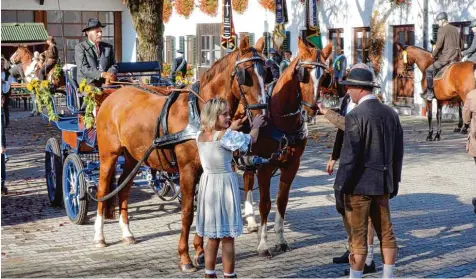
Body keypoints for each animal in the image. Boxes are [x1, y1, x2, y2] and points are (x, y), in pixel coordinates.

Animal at [93, 35, 272, 274]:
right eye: (246, 74)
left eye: (266, 73)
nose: (262, 115)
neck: (200, 114)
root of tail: (112, 96)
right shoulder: (187, 170)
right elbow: (187, 212)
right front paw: (185, 257)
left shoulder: (204, 170)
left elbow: (203, 208)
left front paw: (200, 252)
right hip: (108, 155)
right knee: (103, 190)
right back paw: (99, 236)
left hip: (133, 157)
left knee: (124, 189)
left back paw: (127, 234)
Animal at [240, 38, 332, 258]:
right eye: (303, 74)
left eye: (324, 76)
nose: (311, 109)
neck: (281, 121)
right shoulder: (264, 166)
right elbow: (265, 204)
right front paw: (263, 244)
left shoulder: (291, 165)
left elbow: (282, 201)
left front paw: (280, 240)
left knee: (247, 180)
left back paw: (251, 221)